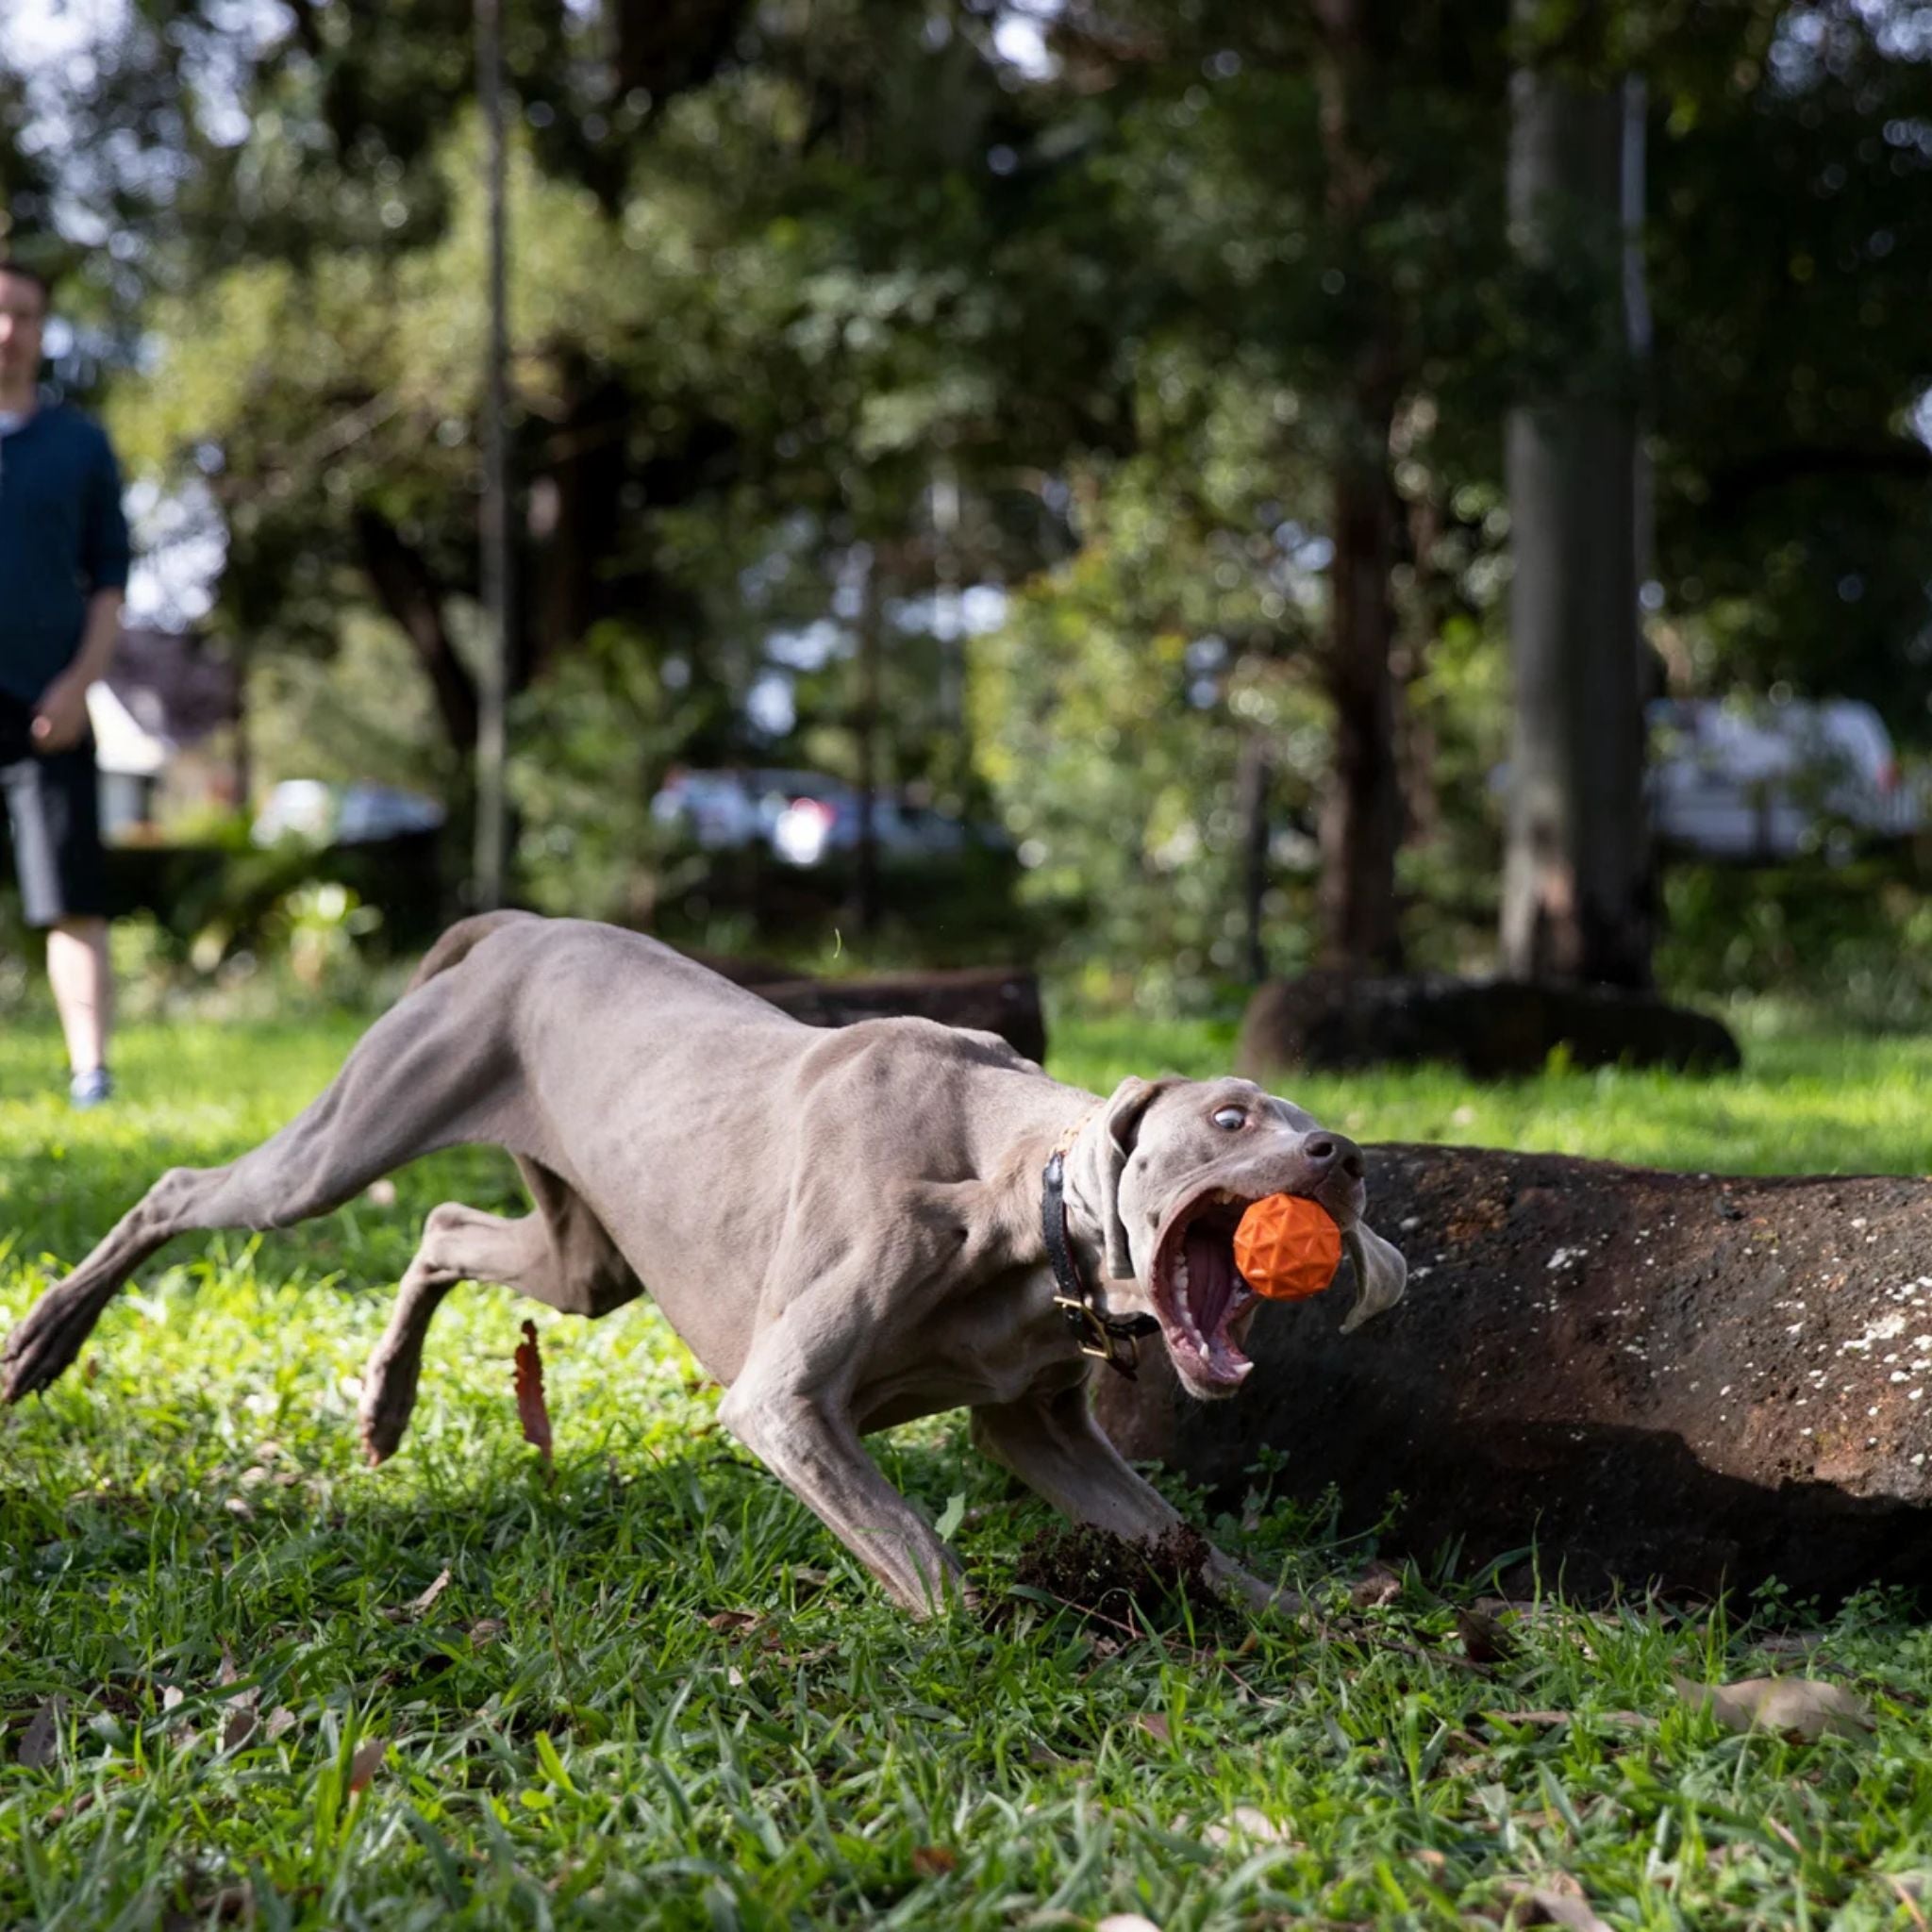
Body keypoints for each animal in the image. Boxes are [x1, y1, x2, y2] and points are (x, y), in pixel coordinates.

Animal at [0, 911, 1406, 1607]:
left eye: (1299, 1117)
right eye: (1231, 1116)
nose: (1343, 1154)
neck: (1017, 1204)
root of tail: (517, 923)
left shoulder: (1036, 1423)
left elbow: (1183, 1538)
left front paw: (1308, 1619)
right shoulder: (785, 1401)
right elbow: (928, 1561)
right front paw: (994, 1645)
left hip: (586, 1258)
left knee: (445, 1227)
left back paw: (386, 1405)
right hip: (349, 1140)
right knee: (185, 1189)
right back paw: (45, 1338)